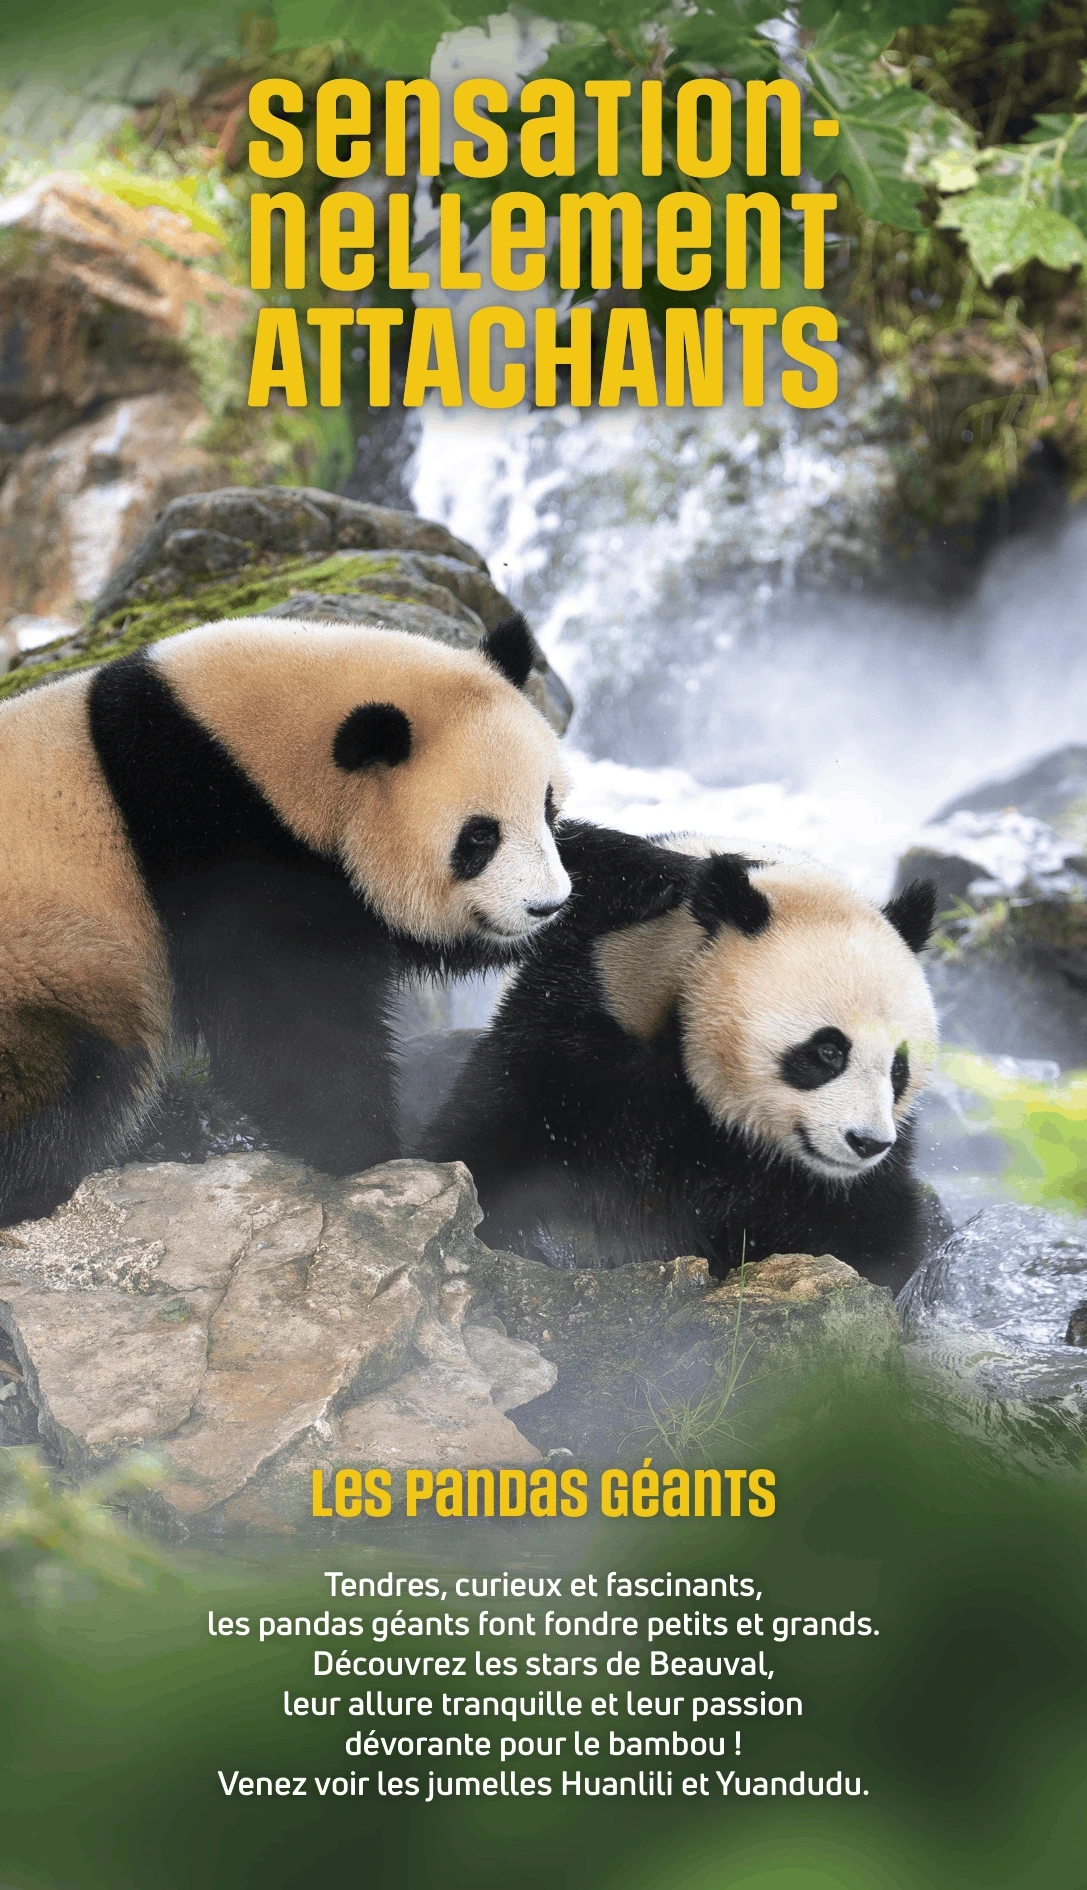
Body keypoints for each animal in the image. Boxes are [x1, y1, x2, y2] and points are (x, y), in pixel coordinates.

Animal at [0, 612, 570, 1226]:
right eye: (480, 837)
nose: (546, 905)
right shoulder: (217, 837)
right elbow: (286, 1016)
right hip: (48, 958)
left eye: (548, 807)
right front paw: (365, 1153)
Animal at [424, 823, 950, 1296]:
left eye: (899, 1068)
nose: (867, 1142)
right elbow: (499, 1132)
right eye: (828, 1051)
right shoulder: (584, 1019)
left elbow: (867, 1226)